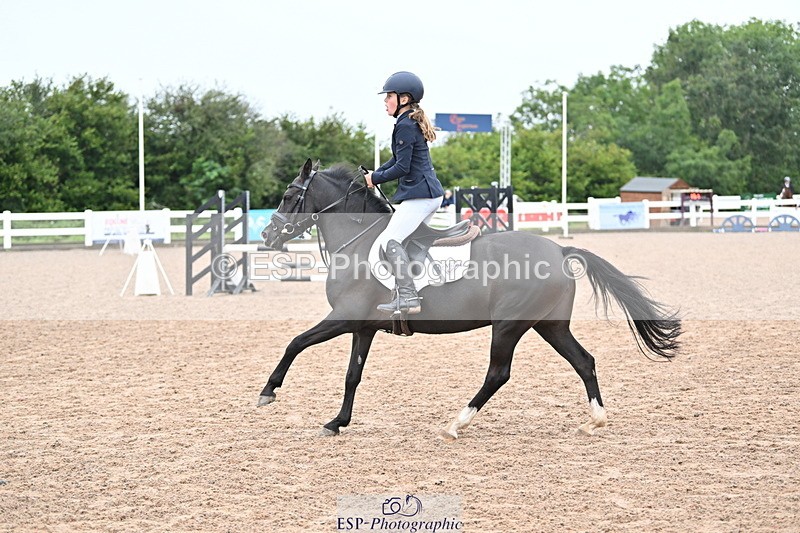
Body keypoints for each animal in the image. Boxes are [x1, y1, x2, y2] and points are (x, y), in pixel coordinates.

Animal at [258, 159, 682, 440]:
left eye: (289, 195)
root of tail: (560, 250)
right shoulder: (363, 327)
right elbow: (352, 375)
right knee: (584, 361)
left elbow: (295, 343)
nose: (267, 235)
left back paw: (455, 424)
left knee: (498, 374)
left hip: (509, 325)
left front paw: (268, 392)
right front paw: (337, 422)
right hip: (549, 325)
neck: (359, 242)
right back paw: (595, 420)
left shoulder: (344, 316)